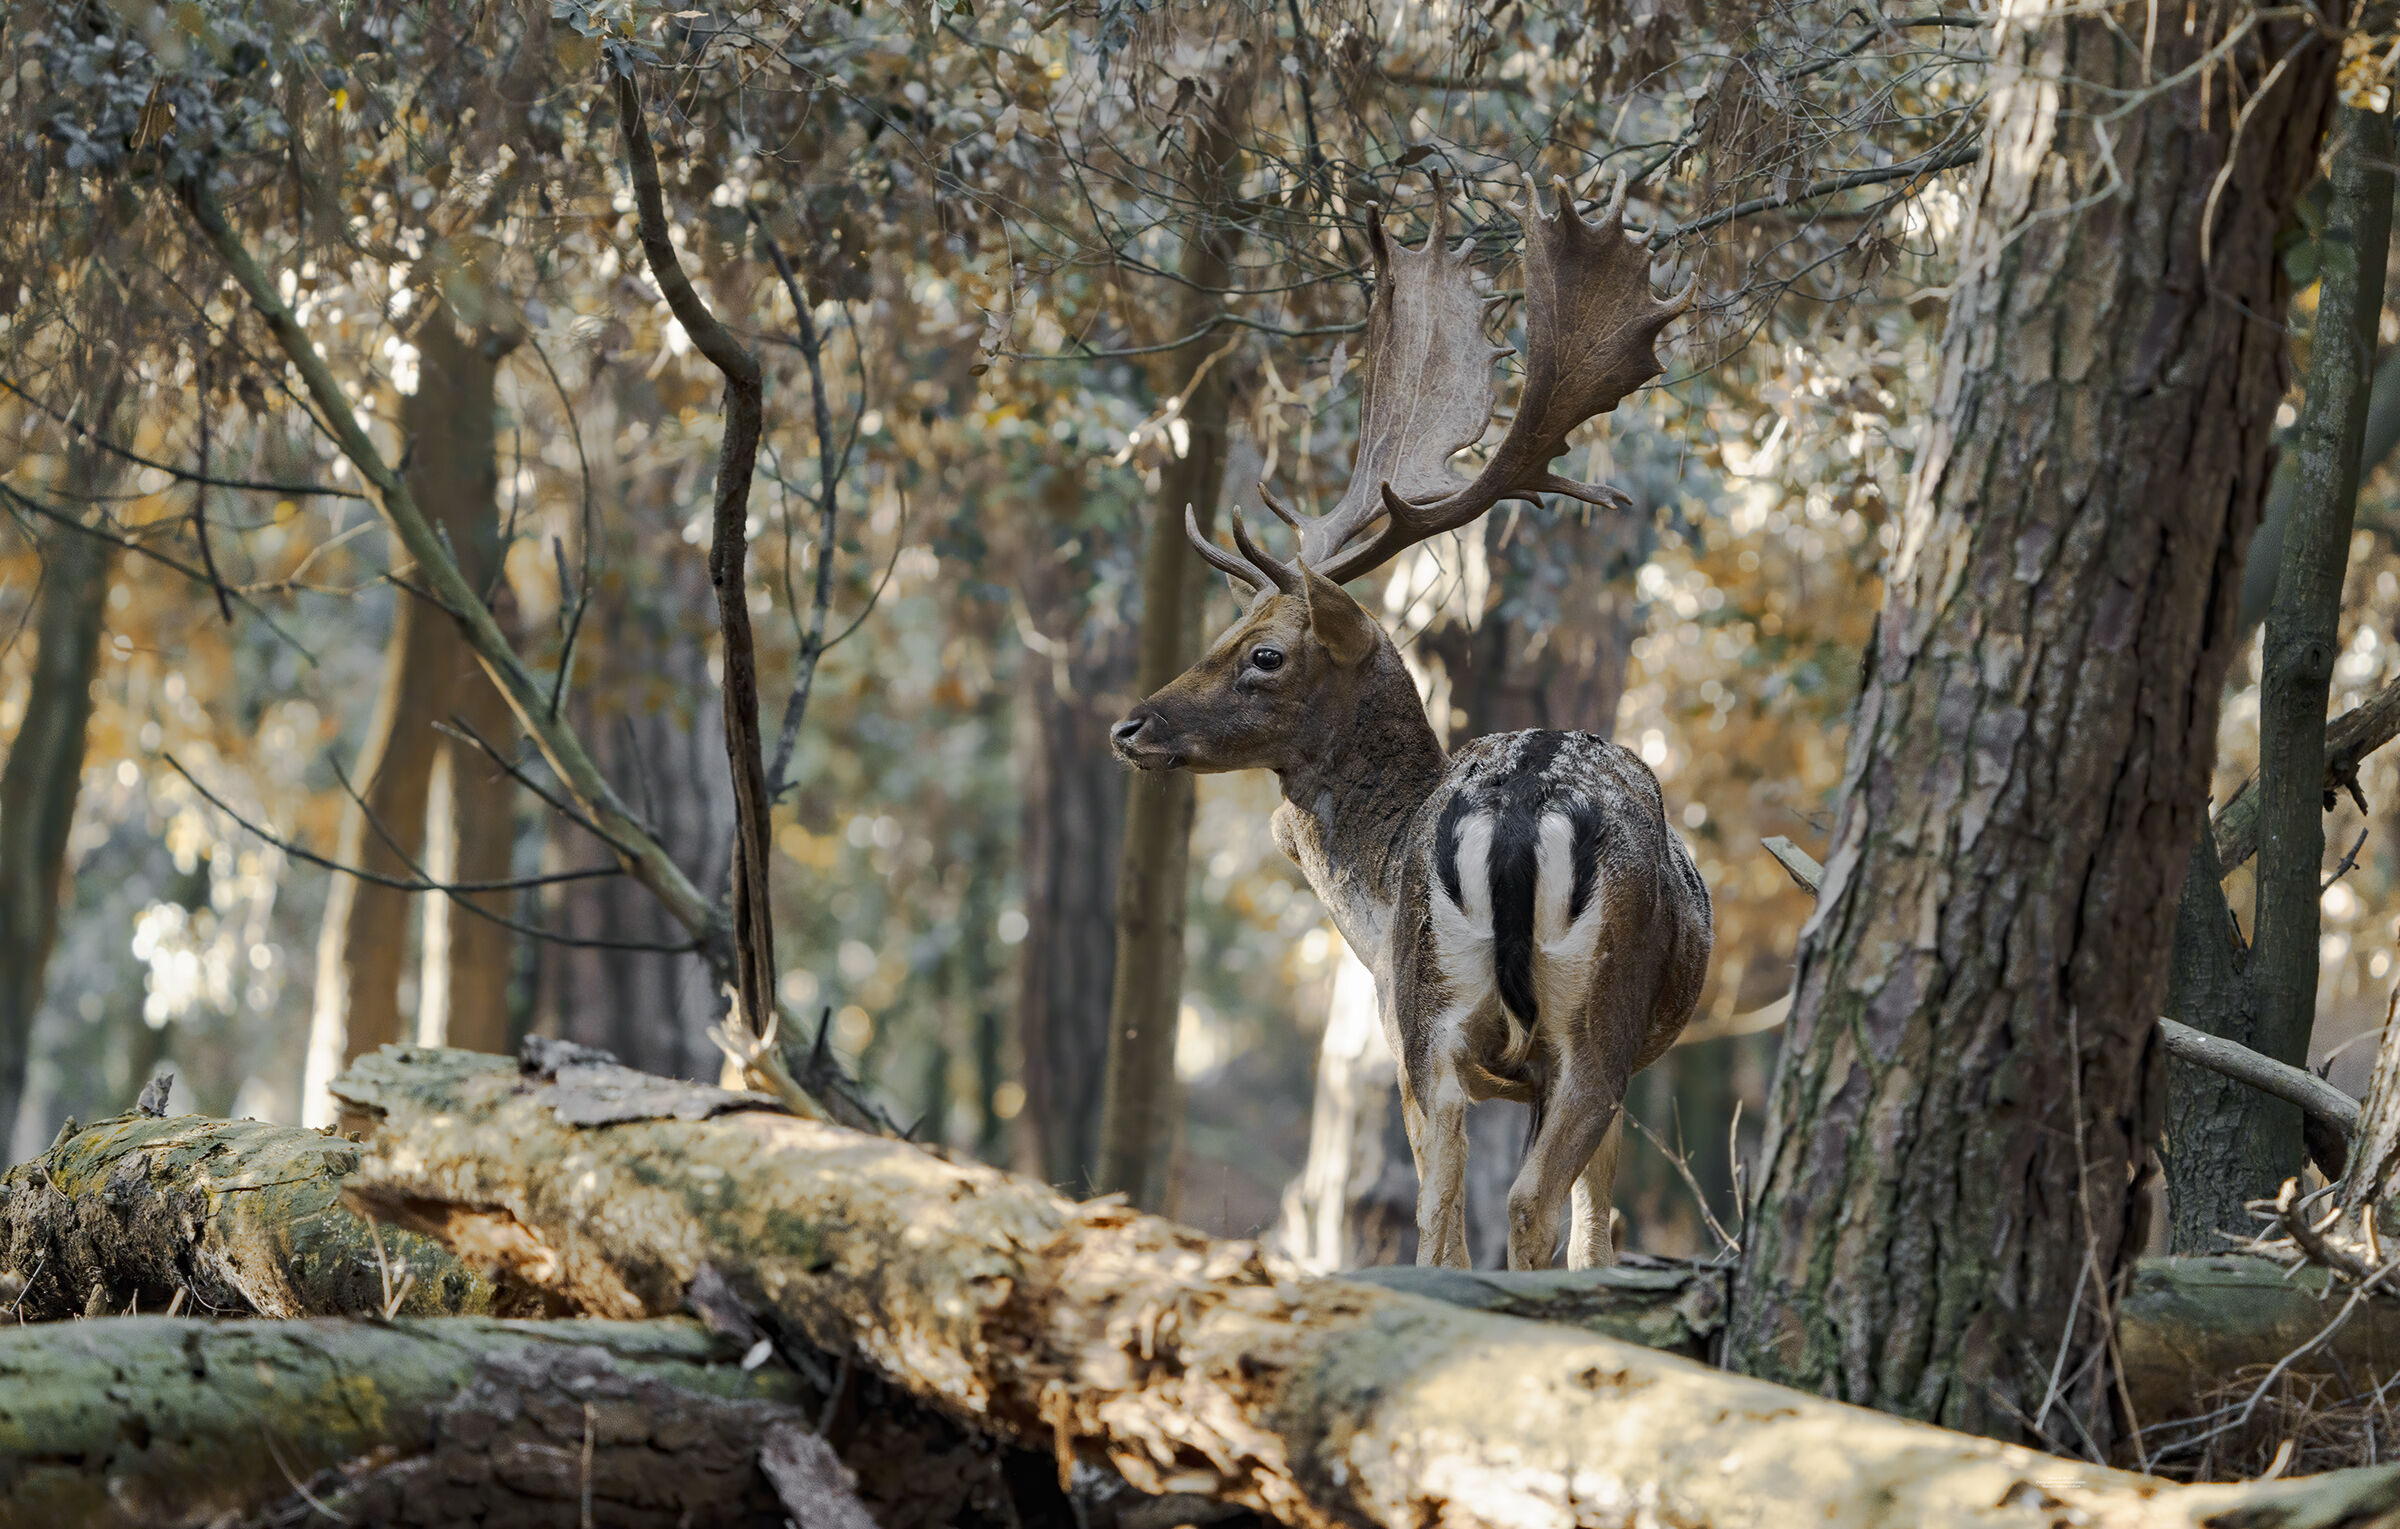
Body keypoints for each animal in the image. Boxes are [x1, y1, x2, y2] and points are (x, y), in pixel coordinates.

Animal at [1110, 175, 1713, 1270]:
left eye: (1265, 653)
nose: (1130, 728)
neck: (1378, 877)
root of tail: (1514, 817)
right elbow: (1590, 1226)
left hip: (1458, 1023)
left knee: (1457, 1219)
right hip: (1566, 1026)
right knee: (1512, 1209)